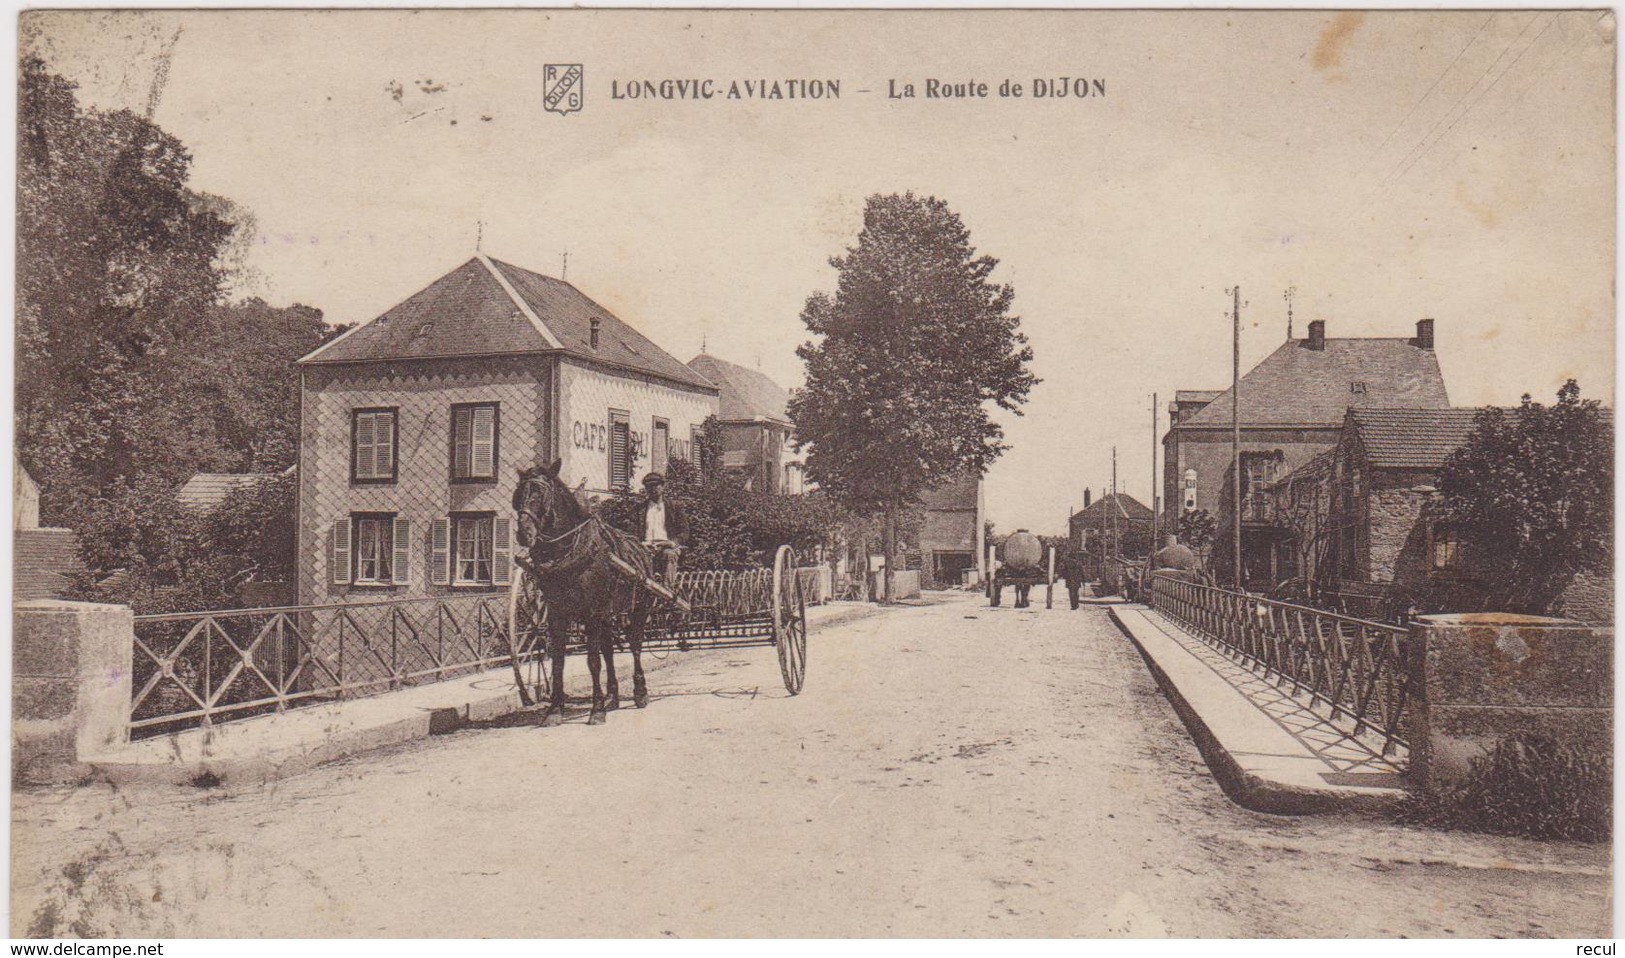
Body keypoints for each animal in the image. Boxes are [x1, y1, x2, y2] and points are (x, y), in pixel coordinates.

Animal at [510, 461, 656, 724]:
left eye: (540, 494)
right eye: (518, 496)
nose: (524, 534)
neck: (569, 551)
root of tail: (643, 550)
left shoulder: (592, 612)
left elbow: (593, 660)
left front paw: (596, 709)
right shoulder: (557, 613)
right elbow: (558, 660)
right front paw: (554, 709)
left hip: (640, 606)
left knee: (635, 644)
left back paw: (639, 692)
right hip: (607, 612)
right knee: (609, 649)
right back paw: (612, 697)